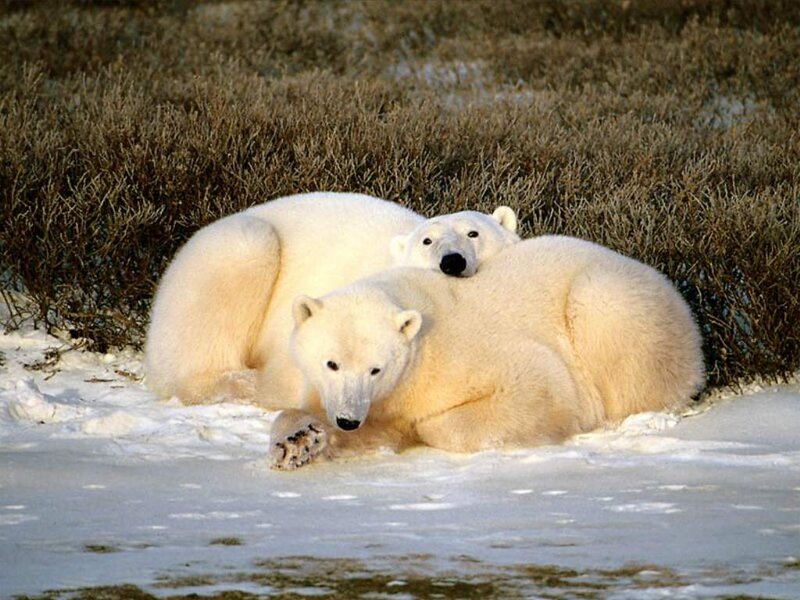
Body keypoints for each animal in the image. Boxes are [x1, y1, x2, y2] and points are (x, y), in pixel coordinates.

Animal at [268, 235, 705, 470]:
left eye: (377, 369)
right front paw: (298, 443)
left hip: (611, 303)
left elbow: (540, 385)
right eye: (331, 363)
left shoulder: (458, 354)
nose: (347, 419)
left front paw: (421, 426)